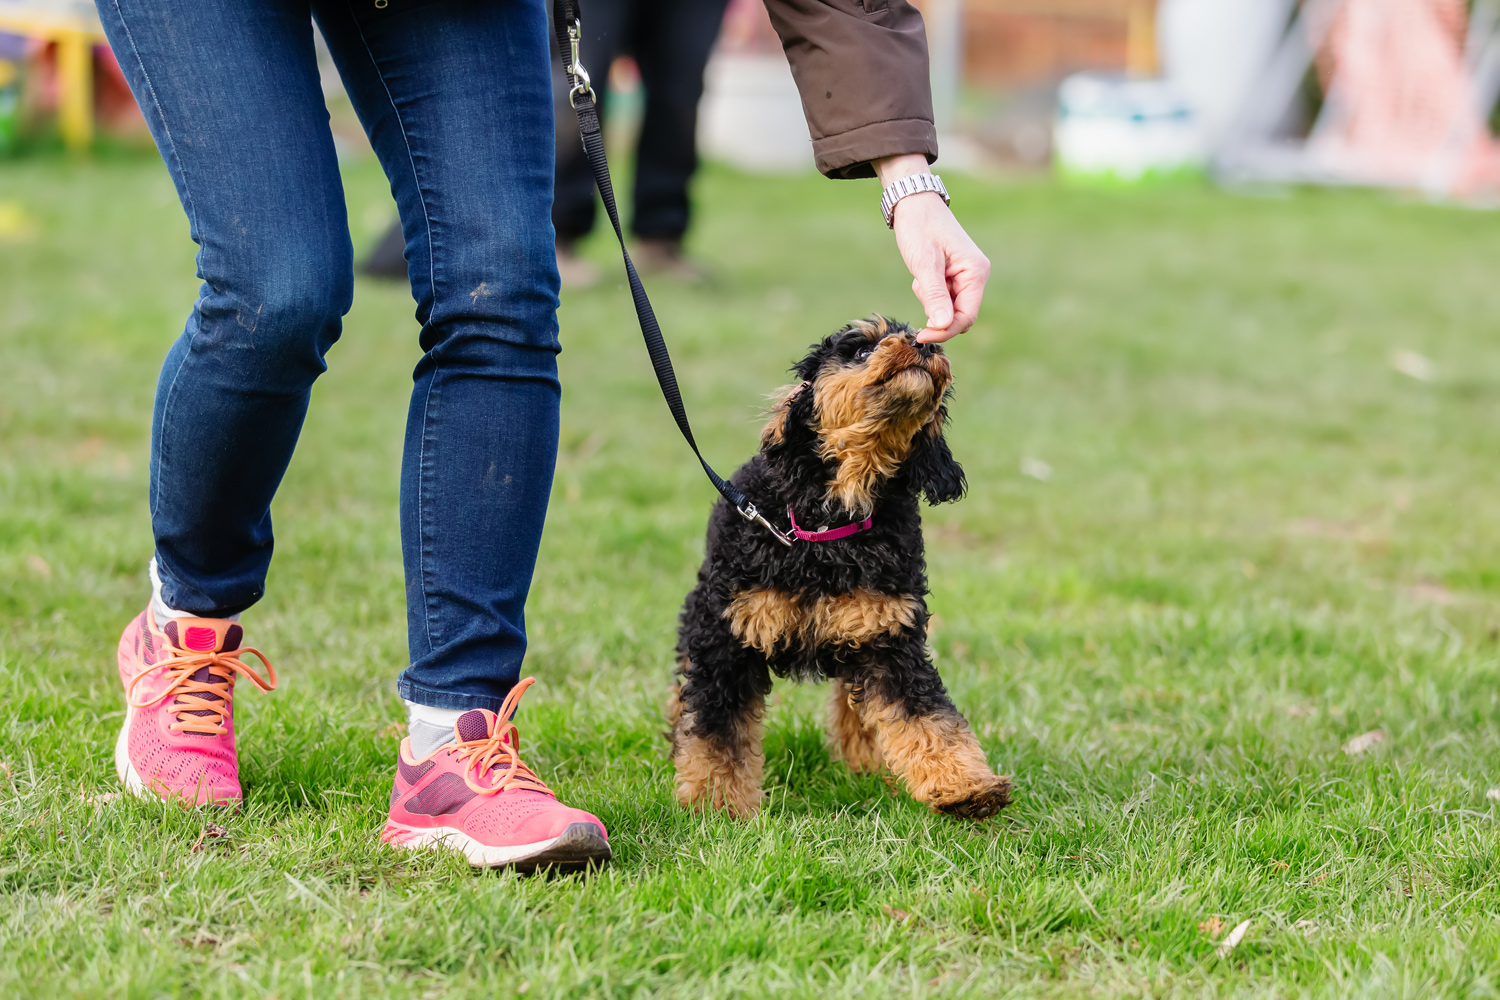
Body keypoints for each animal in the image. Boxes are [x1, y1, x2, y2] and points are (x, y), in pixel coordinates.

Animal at [672, 314, 1014, 821]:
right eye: (859, 349)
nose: (925, 345)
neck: (829, 527)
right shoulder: (727, 639)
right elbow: (717, 731)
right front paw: (716, 808)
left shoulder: (889, 638)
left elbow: (928, 718)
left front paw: (965, 787)